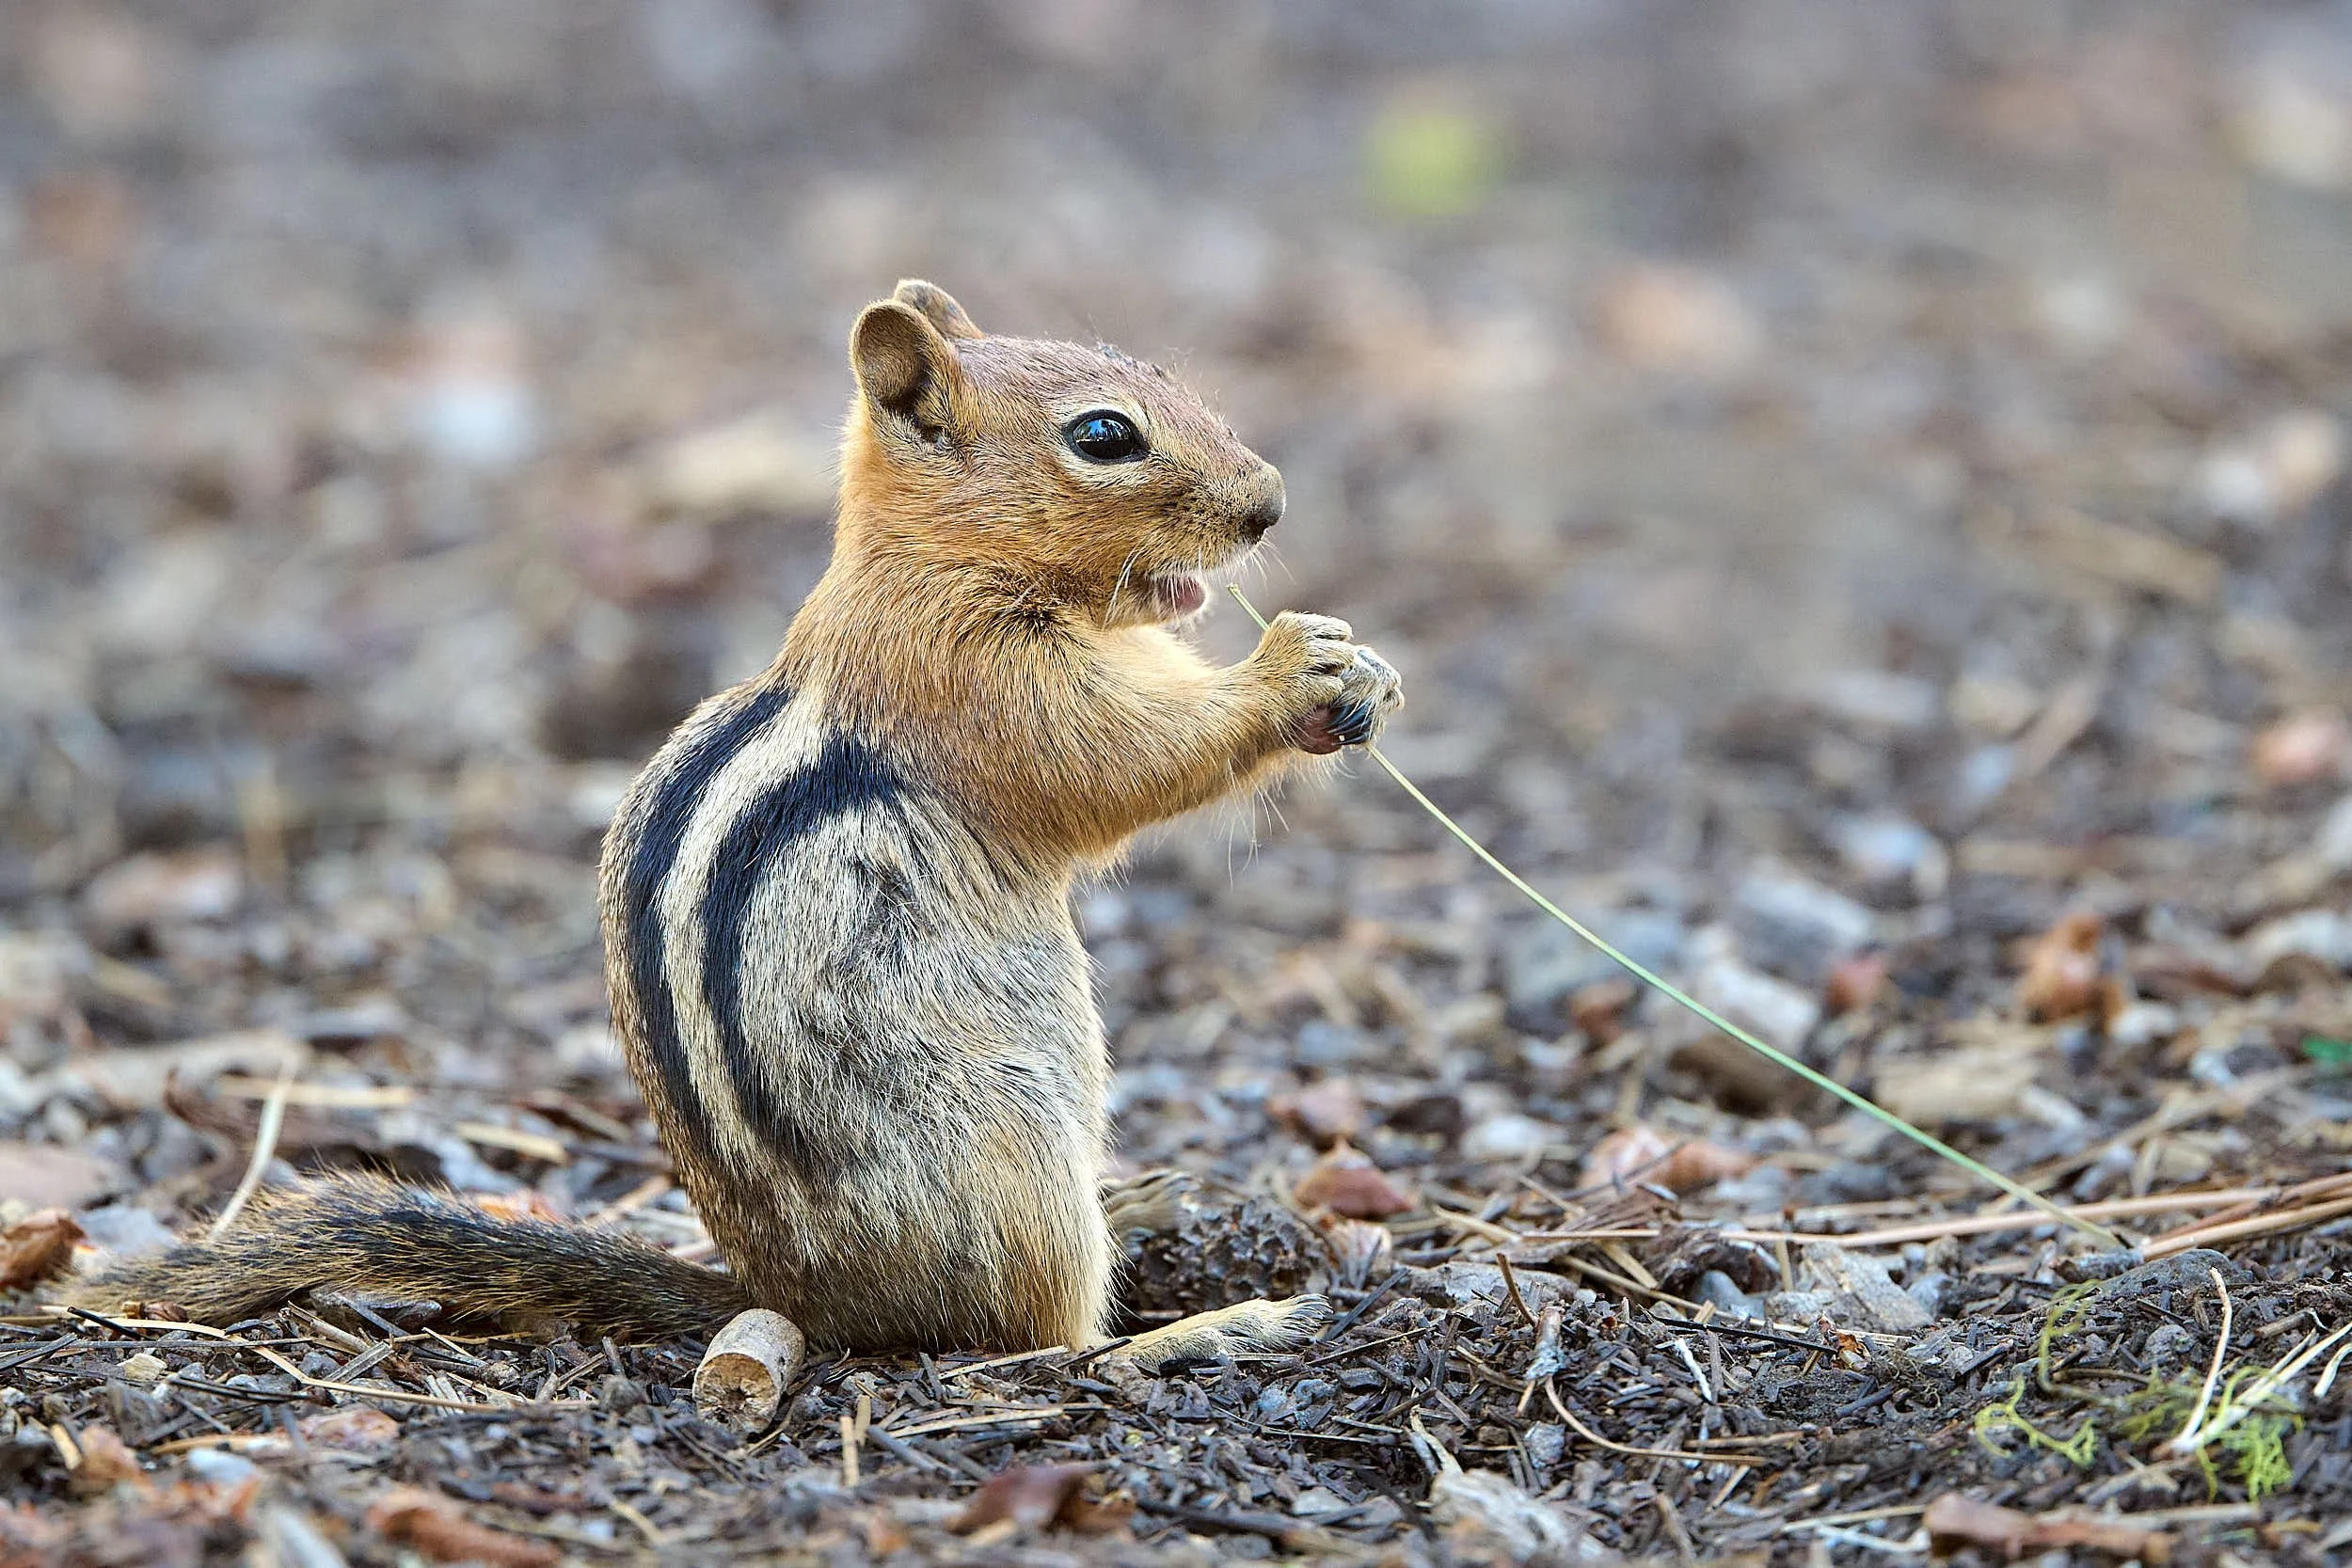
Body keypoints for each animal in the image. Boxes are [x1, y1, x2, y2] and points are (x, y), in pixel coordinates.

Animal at [67, 281, 1404, 1367]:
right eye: (1103, 435)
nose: (1270, 505)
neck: (921, 564)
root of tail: (803, 1300)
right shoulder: (974, 678)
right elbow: (1113, 768)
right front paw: (1290, 668)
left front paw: (1361, 665)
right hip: (1008, 1155)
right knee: (1039, 1344)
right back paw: (1207, 1322)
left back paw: (1143, 1209)